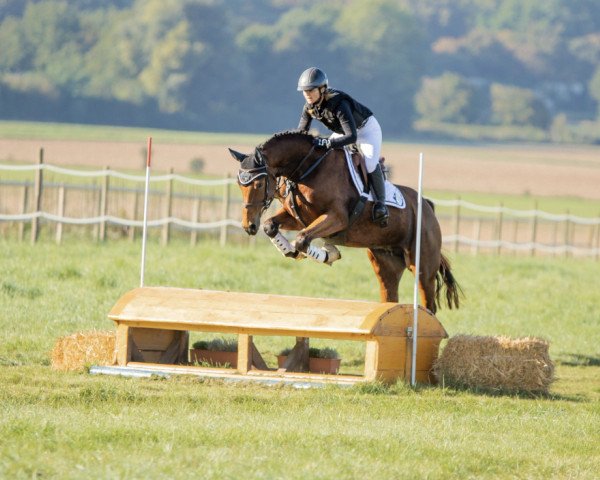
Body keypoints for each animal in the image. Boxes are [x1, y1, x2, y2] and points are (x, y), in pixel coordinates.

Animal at [229, 129, 460, 314]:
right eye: (239, 184)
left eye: (259, 184)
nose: (248, 226)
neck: (307, 169)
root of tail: (427, 206)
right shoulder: (298, 217)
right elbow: (271, 226)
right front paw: (291, 250)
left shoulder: (337, 218)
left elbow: (303, 239)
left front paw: (327, 254)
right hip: (386, 263)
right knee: (390, 296)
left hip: (421, 265)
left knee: (429, 304)